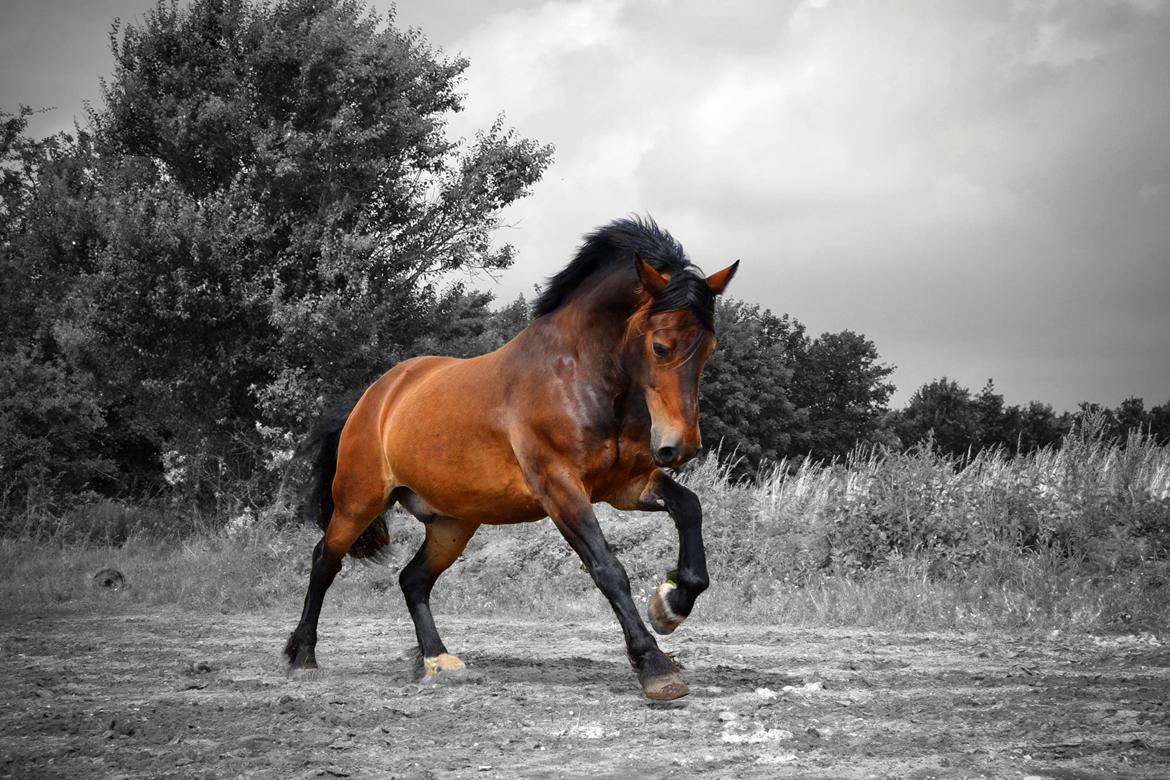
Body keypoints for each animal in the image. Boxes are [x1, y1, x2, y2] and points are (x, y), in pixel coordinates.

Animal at [283, 216, 734, 696]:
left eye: (708, 348)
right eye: (660, 346)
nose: (681, 446)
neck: (577, 375)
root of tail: (374, 397)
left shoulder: (626, 486)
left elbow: (689, 507)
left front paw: (671, 604)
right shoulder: (560, 489)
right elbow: (608, 569)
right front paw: (655, 666)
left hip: (452, 523)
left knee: (413, 579)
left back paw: (437, 659)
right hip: (359, 501)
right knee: (325, 561)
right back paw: (303, 656)